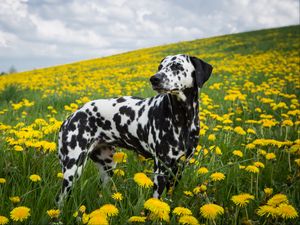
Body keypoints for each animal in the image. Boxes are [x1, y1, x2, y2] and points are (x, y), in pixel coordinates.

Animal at [56, 54, 211, 204]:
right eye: (160, 67)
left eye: (177, 66)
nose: (154, 78)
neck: (182, 118)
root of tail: (70, 117)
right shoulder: (161, 169)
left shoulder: (179, 168)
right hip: (72, 170)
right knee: (60, 199)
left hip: (107, 167)